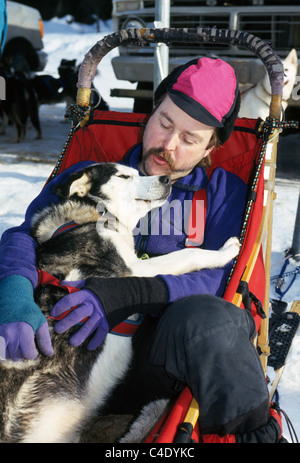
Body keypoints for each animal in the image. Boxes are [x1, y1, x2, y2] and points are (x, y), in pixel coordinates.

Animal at [0, 164, 240, 446]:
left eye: (138, 172)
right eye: (124, 176)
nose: (166, 178)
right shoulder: (135, 269)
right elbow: (190, 253)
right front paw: (225, 251)